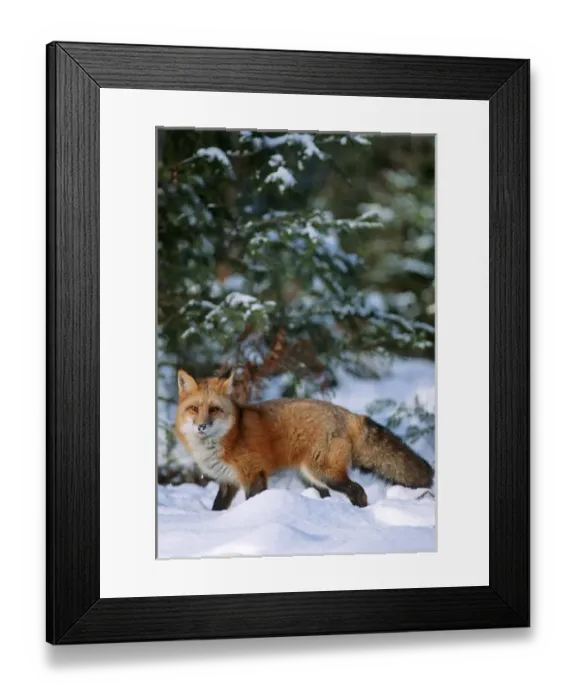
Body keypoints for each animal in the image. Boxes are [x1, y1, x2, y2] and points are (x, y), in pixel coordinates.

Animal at [174, 367, 434, 512]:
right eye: (194, 409)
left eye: (214, 410)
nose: (201, 426)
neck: (229, 437)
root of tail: (348, 414)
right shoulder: (228, 482)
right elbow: (216, 508)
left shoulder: (253, 475)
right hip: (310, 478)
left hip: (324, 473)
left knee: (358, 490)